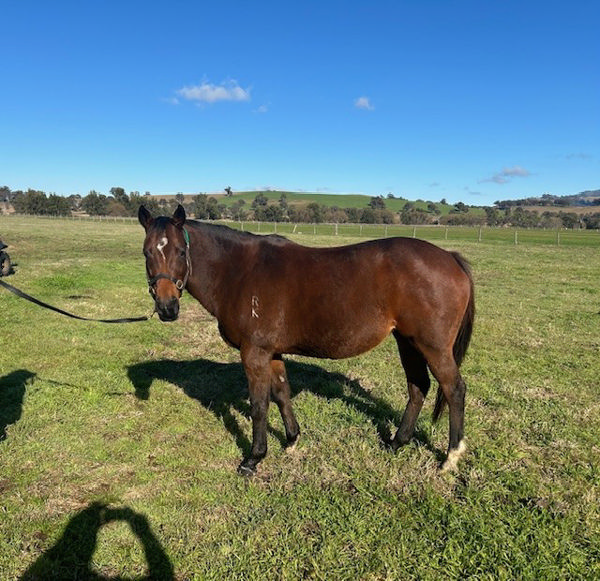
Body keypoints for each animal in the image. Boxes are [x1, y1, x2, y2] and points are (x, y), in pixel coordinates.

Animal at [138, 204, 475, 475]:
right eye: (147, 252)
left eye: (181, 252)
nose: (167, 308)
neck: (239, 272)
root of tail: (450, 258)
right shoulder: (271, 353)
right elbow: (281, 394)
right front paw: (291, 440)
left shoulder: (254, 353)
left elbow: (259, 405)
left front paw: (253, 458)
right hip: (407, 341)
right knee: (418, 387)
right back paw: (397, 443)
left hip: (432, 346)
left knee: (454, 389)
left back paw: (450, 457)